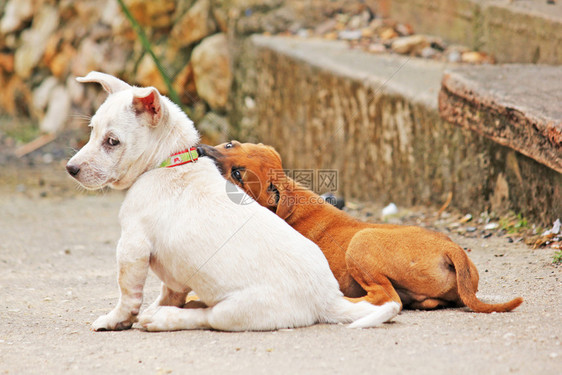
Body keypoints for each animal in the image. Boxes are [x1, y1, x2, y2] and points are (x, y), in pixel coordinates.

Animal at [66, 71, 398, 332]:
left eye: (112, 141)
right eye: (92, 131)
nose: (71, 169)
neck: (169, 162)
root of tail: (328, 300)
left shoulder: (132, 246)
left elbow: (128, 294)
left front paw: (116, 320)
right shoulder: (169, 273)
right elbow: (169, 290)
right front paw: (154, 306)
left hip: (235, 310)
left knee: (206, 317)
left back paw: (164, 319)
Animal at [197, 142, 520, 312]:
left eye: (238, 175)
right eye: (229, 145)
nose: (199, 149)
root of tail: (454, 250)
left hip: (361, 243)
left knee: (385, 297)